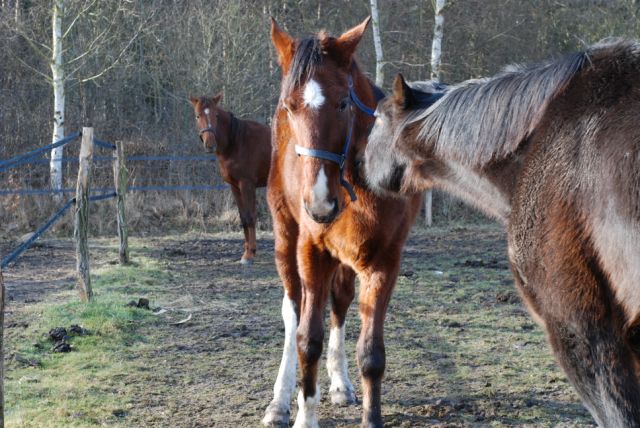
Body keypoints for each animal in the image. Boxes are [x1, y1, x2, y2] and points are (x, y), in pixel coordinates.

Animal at [189, 93, 272, 264]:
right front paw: (247, 251)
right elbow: (243, 218)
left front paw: (249, 255)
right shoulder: (234, 186)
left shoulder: (247, 185)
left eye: (215, 115)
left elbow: (250, 217)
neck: (236, 141)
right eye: (197, 115)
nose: (210, 144)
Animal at [262, 17, 422, 428]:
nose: (320, 202)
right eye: (289, 106)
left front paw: (370, 415)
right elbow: (307, 340)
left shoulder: (383, 261)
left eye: (343, 102)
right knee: (293, 310)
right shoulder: (311, 252)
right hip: (286, 241)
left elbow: (372, 352)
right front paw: (304, 415)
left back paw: (340, 384)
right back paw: (280, 401)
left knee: (339, 304)